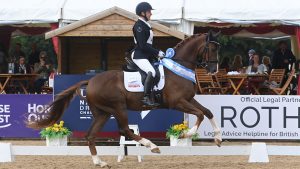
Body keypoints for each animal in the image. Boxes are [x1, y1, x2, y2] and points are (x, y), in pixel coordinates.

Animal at [28, 31, 223, 166]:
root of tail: (91, 80)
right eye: (212, 48)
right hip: (118, 107)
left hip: (103, 113)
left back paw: (99, 162)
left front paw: (218, 139)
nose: (213, 70)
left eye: (217, 48)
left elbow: (208, 112)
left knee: (91, 135)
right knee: (124, 130)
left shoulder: (188, 99)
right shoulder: (177, 102)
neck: (178, 67)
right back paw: (152, 146)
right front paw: (184, 134)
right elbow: (200, 115)